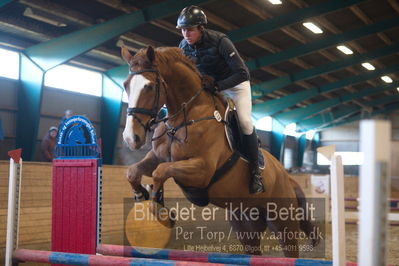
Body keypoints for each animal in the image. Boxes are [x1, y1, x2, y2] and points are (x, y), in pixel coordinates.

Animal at [120, 45, 320, 258]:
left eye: (149, 86)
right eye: (126, 85)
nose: (131, 138)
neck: (182, 119)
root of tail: (287, 177)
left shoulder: (202, 171)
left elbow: (161, 172)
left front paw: (162, 213)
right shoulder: (156, 158)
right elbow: (134, 171)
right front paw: (141, 194)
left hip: (282, 221)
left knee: (290, 248)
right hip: (245, 224)